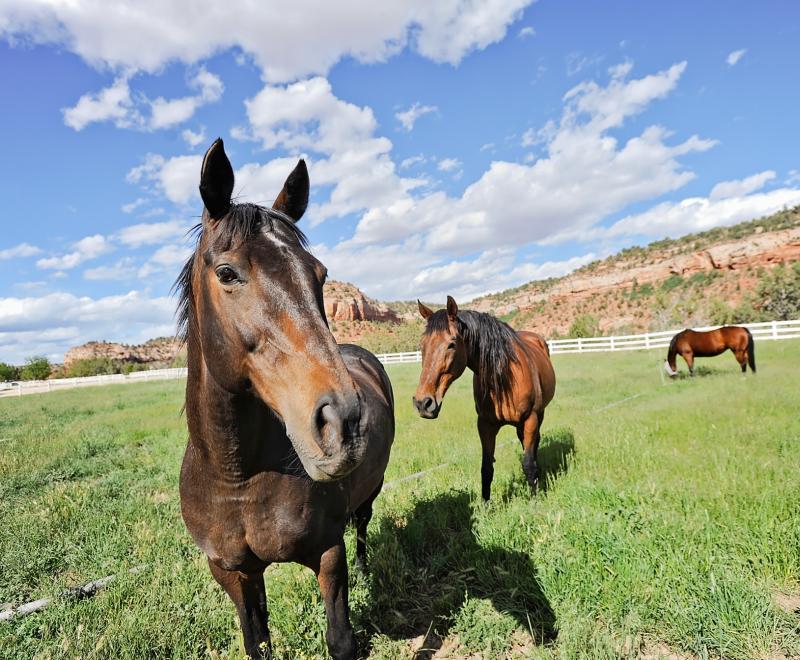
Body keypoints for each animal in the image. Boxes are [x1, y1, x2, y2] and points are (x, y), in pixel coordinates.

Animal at [176, 139, 394, 660]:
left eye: (320, 275)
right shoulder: (234, 573)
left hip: (370, 492)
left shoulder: (328, 554)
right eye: (227, 272)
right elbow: (257, 641)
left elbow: (341, 640)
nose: (344, 422)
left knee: (363, 525)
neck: (237, 475)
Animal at [412, 297, 556, 500]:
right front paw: (485, 506)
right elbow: (486, 469)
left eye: (451, 344)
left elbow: (528, 464)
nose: (423, 403)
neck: (503, 378)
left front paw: (534, 500)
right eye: (422, 345)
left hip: (539, 414)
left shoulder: (530, 419)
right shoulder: (485, 425)